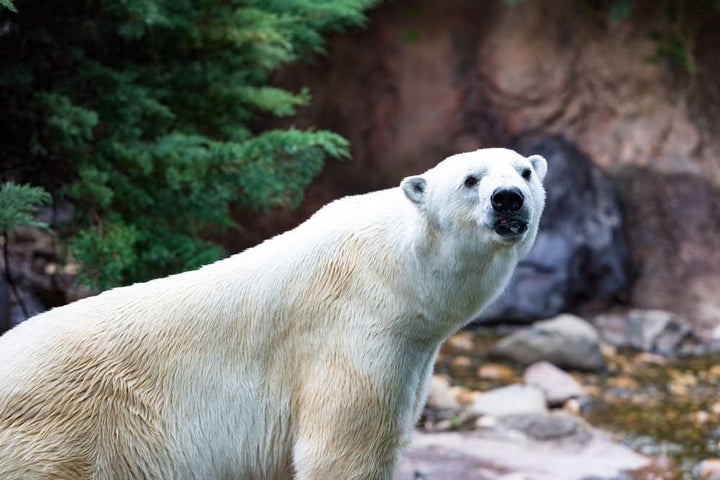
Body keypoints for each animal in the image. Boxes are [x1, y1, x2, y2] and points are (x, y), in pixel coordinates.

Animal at [0, 148, 544, 478]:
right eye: (470, 179)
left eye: (525, 171)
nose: (508, 200)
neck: (396, 269)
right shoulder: (350, 337)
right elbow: (343, 453)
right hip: (62, 435)